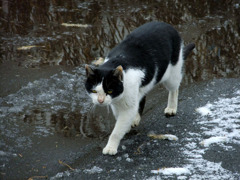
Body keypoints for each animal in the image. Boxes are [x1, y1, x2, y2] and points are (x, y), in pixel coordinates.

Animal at [84, 21, 195, 155]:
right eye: (94, 91)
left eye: (109, 90)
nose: (100, 101)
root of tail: (166, 24)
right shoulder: (117, 103)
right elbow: (120, 117)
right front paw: (127, 125)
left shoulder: (126, 103)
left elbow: (117, 130)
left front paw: (111, 147)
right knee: (141, 97)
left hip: (173, 72)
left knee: (174, 88)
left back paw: (171, 108)